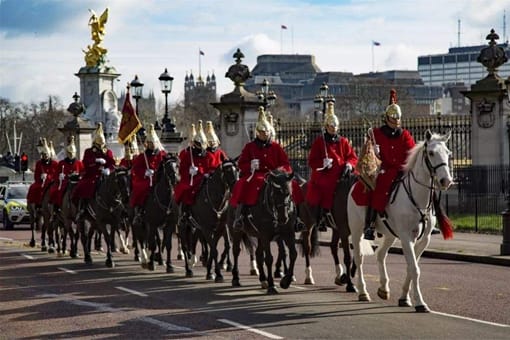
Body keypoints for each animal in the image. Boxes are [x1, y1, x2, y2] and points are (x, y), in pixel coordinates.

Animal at [348, 130, 452, 314]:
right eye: (431, 153)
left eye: (448, 153)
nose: (445, 181)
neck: (417, 197)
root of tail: (356, 185)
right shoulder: (406, 237)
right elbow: (415, 269)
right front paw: (420, 303)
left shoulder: (423, 240)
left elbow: (411, 267)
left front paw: (405, 297)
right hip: (356, 230)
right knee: (359, 258)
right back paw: (363, 292)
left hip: (390, 234)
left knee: (380, 254)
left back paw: (383, 288)